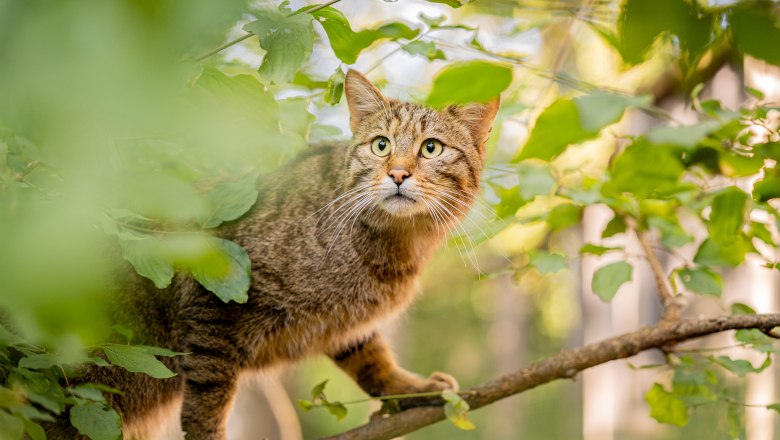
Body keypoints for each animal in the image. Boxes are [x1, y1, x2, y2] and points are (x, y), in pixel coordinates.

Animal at [45, 70, 500, 438]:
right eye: (381, 145)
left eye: (431, 148)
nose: (398, 173)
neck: (396, 243)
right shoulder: (216, 301)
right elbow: (207, 399)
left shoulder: (346, 326)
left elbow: (373, 362)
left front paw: (409, 390)